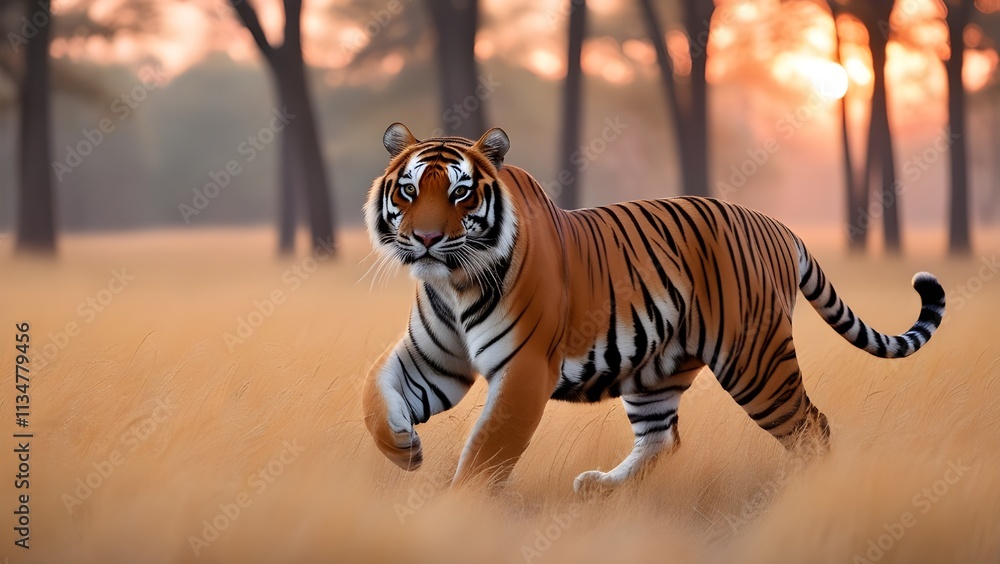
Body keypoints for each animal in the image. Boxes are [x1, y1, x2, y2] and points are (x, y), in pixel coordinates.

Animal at [361, 123, 946, 493]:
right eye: (408, 190)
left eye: (461, 193)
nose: (427, 239)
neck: (452, 283)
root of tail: (779, 226)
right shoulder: (433, 360)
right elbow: (375, 393)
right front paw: (403, 448)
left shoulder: (523, 369)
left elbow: (487, 451)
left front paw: (456, 510)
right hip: (656, 371)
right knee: (663, 438)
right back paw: (602, 488)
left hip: (756, 361)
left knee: (811, 428)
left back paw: (807, 494)